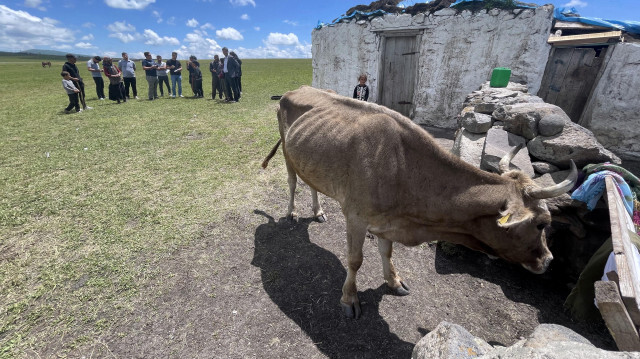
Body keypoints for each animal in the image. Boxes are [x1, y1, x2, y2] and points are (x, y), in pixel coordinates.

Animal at [260, 86, 576, 320]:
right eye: (542, 224)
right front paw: (349, 299)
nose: (549, 260)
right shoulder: (356, 217)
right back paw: (291, 213)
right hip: (287, 150)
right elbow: (355, 260)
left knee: (311, 184)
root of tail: (293, 91)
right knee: (292, 182)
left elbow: (387, 253)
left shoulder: (388, 222)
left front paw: (394, 281)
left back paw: (318, 211)